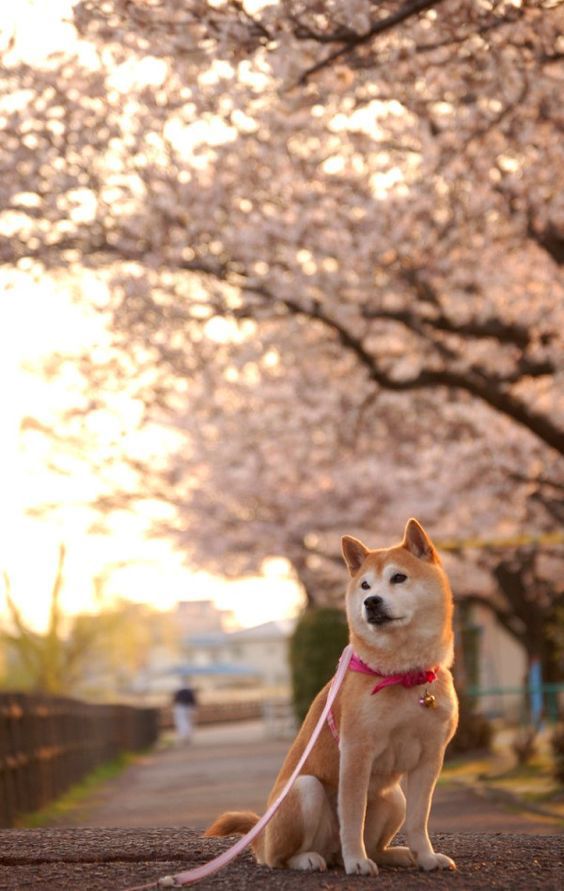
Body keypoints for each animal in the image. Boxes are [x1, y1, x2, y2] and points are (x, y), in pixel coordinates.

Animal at [206, 520, 458, 876]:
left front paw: (426, 857)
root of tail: (261, 835)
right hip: (305, 789)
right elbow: (352, 818)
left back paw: (393, 854)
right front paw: (357, 861)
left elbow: (418, 820)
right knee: (281, 857)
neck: (404, 674)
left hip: (394, 797)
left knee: (374, 841)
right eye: (365, 585)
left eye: (398, 577)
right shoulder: (355, 752)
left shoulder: (430, 757)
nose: (372, 602)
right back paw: (313, 858)